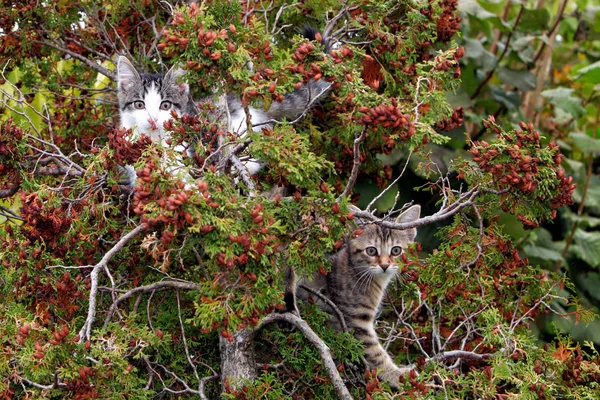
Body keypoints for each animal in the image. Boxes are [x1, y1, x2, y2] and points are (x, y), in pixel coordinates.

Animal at [296, 205, 422, 386]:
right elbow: (375, 353)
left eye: (396, 250)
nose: (385, 265)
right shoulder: (354, 320)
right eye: (371, 250)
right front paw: (398, 375)